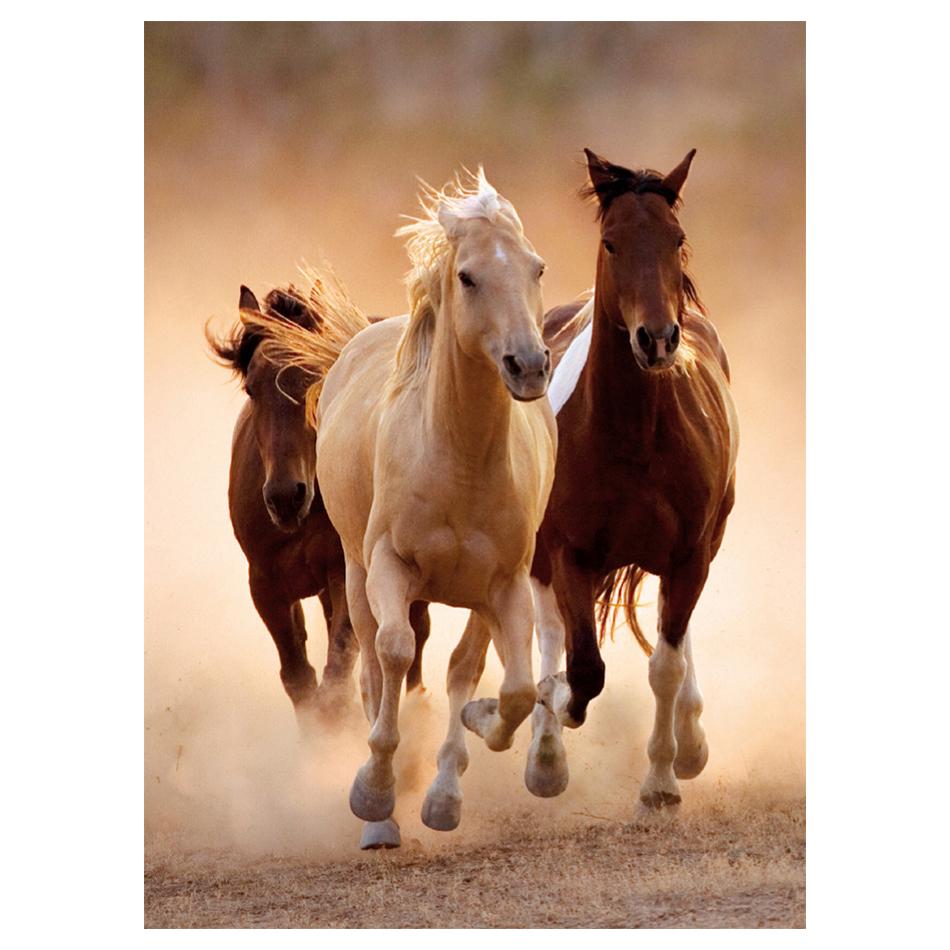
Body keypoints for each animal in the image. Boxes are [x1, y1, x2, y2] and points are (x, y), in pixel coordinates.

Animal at [206, 280, 431, 730]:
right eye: (251, 388)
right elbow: (299, 678)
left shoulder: (344, 573)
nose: (284, 496)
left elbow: (337, 673)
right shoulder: (266, 585)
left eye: (316, 378)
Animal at [259, 171, 556, 848]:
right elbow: (392, 655)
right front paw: (373, 793)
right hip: (354, 573)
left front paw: (470, 740)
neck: (458, 460)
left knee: (460, 667)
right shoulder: (389, 567)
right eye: (468, 276)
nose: (528, 366)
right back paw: (382, 817)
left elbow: (510, 687)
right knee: (373, 665)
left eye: (536, 267)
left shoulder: (505, 585)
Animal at [525, 149, 739, 818]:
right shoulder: (569, 552)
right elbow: (582, 669)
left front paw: (664, 780)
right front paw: (553, 718)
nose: (658, 339)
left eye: (677, 239)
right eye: (611, 242)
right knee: (548, 633)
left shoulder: (690, 553)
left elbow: (665, 665)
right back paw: (544, 753)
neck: (634, 435)